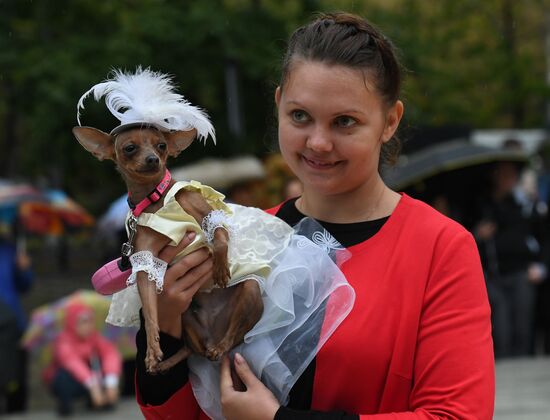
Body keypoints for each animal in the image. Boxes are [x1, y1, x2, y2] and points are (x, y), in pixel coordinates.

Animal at [74, 69, 264, 374]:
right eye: (129, 148)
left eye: (162, 146)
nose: (153, 159)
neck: (155, 199)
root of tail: (213, 334)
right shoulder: (146, 264)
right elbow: (152, 314)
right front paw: (152, 352)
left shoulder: (201, 208)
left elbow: (219, 234)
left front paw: (220, 266)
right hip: (187, 318)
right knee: (196, 348)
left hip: (251, 292)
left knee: (234, 336)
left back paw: (221, 343)